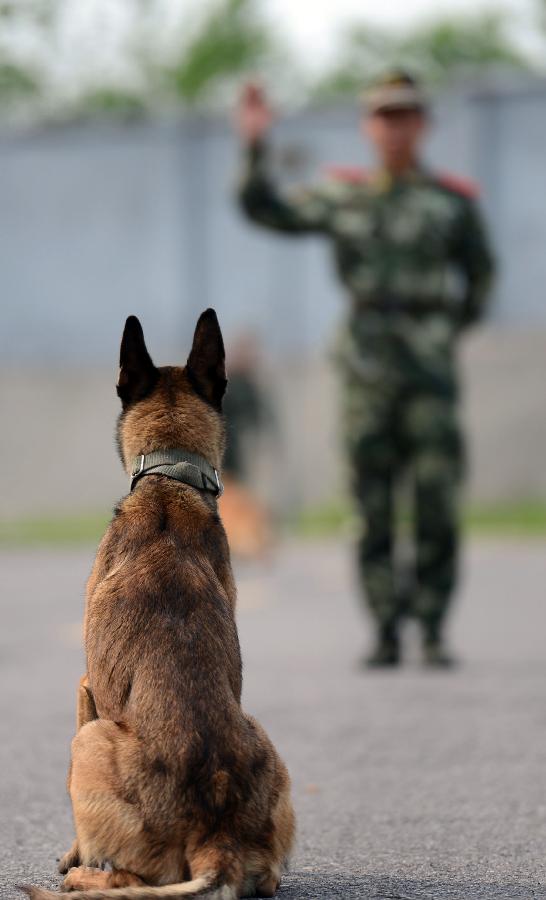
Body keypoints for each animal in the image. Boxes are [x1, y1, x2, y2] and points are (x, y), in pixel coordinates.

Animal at [22, 312, 294, 900]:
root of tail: (216, 839)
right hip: (261, 735)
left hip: (90, 741)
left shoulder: (86, 688)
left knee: (126, 876)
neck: (171, 481)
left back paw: (82, 877)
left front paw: (70, 856)